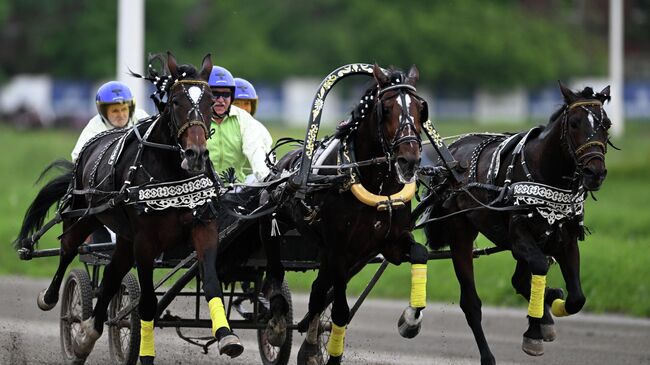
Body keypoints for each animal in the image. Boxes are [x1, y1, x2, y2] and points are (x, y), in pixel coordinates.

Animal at [15, 52, 244, 362]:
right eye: (175, 102)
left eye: (209, 101)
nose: (196, 154)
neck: (172, 173)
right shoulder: (145, 242)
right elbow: (146, 302)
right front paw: (145, 355)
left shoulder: (204, 227)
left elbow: (211, 283)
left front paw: (226, 336)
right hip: (85, 214)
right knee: (68, 248)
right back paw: (52, 300)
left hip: (124, 237)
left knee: (113, 274)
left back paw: (88, 334)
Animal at [258, 64, 430, 362]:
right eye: (387, 108)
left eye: (421, 109)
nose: (409, 160)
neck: (373, 182)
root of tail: (284, 163)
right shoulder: (340, 250)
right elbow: (340, 311)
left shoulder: (392, 243)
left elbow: (420, 253)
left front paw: (410, 320)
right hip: (276, 221)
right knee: (275, 269)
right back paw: (277, 320)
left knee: (317, 292)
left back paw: (311, 346)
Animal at [418, 83, 612, 364]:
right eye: (575, 123)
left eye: (606, 124)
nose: (594, 172)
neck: (545, 172)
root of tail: (450, 158)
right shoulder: (520, 236)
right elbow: (539, 267)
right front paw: (535, 330)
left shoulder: (564, 238)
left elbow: (576, 298)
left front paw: (551, 305)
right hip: (460, 233)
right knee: (471, 302)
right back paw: (488, 355)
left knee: (519, 280)